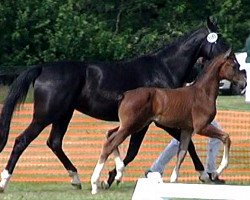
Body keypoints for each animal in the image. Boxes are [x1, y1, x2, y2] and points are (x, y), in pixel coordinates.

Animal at [0, 18, 229, 191]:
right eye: (221, 42)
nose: (231, 57)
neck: (163, 68)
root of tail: (42, 68)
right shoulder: (157, 121)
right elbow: (176, 145)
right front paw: (205, 174)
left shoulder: (148, 122)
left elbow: (132, 149)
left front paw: (109, 177)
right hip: (45, 115)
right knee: (22, 140)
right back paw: (4, 181)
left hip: (63, 115)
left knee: (54, 143)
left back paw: (76, 179)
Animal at [90, 48, 246, 194]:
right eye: (234, 65)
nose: (243, 83)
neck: (202, 93)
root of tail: (125, 95)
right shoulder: (202, 127)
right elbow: (226, 137)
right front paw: (215, 173)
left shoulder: (187, 130)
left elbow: (182, 152)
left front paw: (173, 180)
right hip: (130, 126)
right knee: (109, 145)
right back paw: (95, 184)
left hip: (133, 125)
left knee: (110, 135)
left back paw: (118, 173)